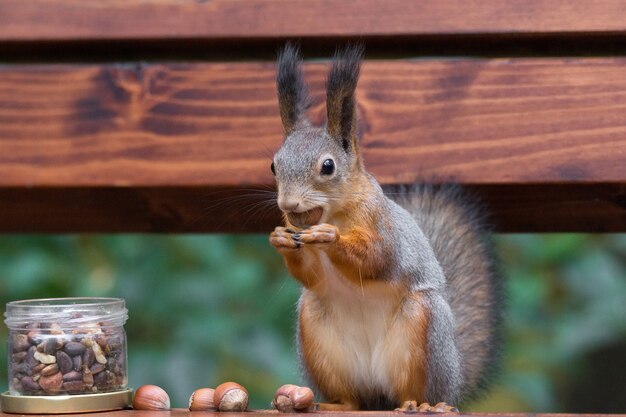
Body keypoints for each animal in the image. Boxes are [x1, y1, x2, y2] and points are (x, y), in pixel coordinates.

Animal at [268, 44, 502, 410]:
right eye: (273, 166)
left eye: (328, 166)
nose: (289, 205)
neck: (333, 214)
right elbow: (311, 275)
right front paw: (279, 238)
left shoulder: (384, 228)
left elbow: (377, 259)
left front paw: (330, 238)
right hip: (318, 334)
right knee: (352, 399)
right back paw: (337, 404)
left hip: (422, 328)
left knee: (414, 390)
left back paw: (418, 404)